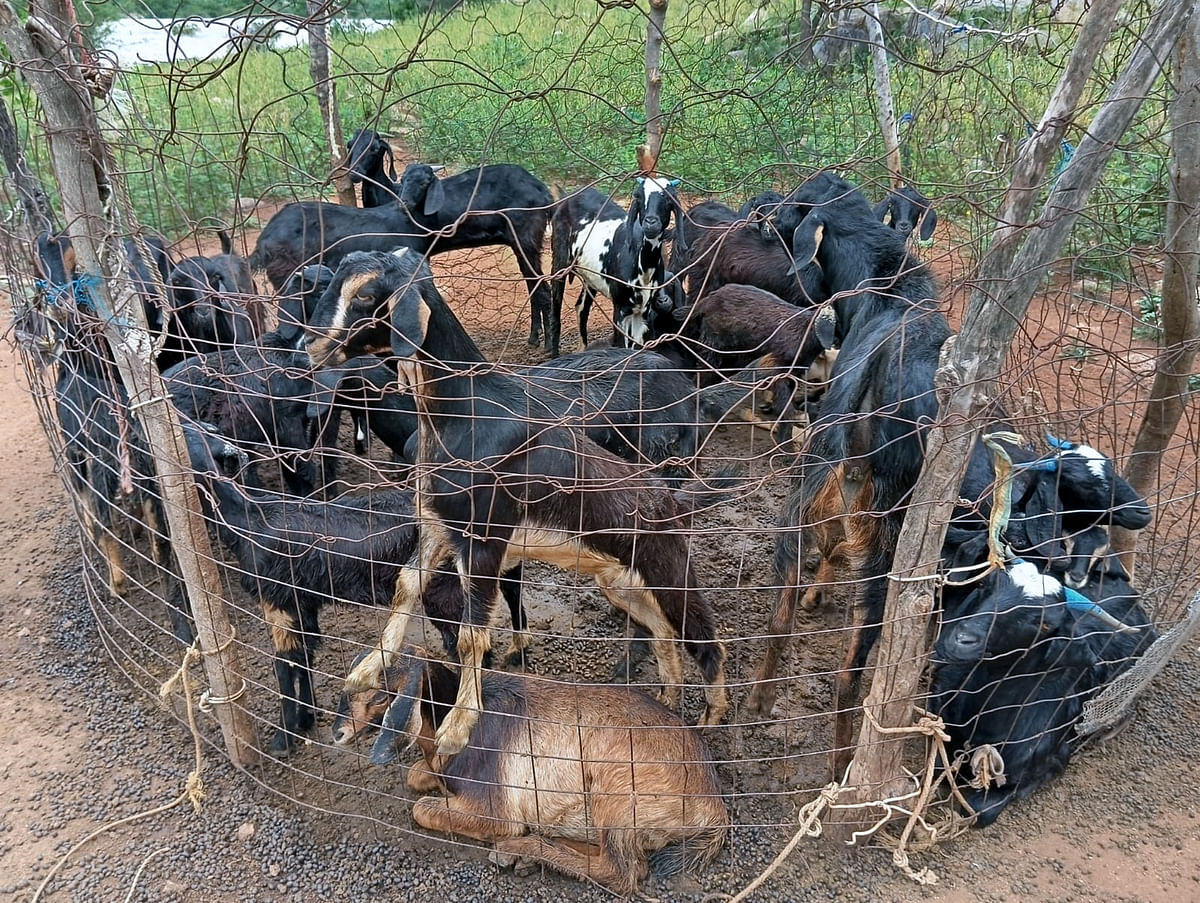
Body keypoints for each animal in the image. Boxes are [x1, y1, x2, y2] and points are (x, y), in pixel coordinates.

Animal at [302, 250, 729, 758]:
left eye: (366, 295)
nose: (310, 345)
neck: (464, 411)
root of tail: (670, 501)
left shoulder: (485, 536)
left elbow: (472, 635)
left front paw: (458, 726)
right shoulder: (439, 526)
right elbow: (406, 586)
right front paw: (367, 668)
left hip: (668, 566)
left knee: (705, 636)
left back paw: (711, 718)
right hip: (621, 582)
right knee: (662, 631)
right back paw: (668, 698)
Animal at [340, 643, 729, 893]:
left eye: (380, 696)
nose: (339, 733)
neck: (454, 720)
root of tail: (713, 807)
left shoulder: (495, 810)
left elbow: (422, 808)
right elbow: (417, 775)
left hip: (617, 788)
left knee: (623, 872)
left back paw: (517, 851)